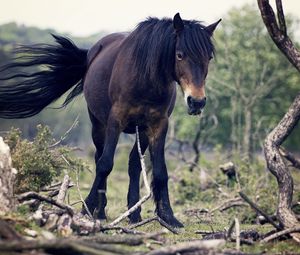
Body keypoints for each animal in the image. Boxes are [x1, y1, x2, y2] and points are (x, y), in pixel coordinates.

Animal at [0, 13, 220, 227]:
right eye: (180, 54)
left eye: (208, 57)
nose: (197, 101)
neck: (146, 79)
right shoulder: (115, 121)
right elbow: (105, 164)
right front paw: (88, 208)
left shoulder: (158, 125)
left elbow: (159, 171)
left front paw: (168, 216)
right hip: (98, 124)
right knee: (100, 157)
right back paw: (101, 211)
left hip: (140, 131)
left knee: (133, 164)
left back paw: (134, 213)